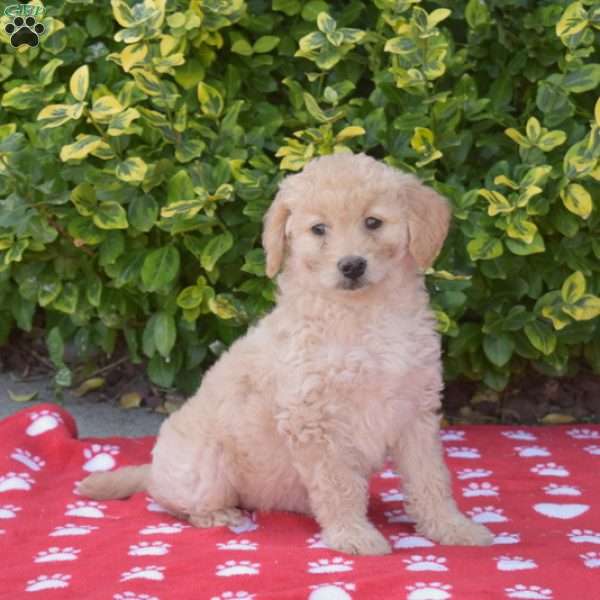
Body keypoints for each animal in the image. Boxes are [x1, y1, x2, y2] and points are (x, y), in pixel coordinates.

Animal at [79, 154, 492, 552]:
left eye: (373, 222)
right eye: (319, 229)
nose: (352, 265)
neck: (364, 315)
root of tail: (152, 468)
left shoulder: (415, 411)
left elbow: (431, 478)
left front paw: (453, 528)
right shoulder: (314, 419)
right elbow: (338, 485)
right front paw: (353, 536)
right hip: (204, 467)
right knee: (174, 502)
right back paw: (219, 515)